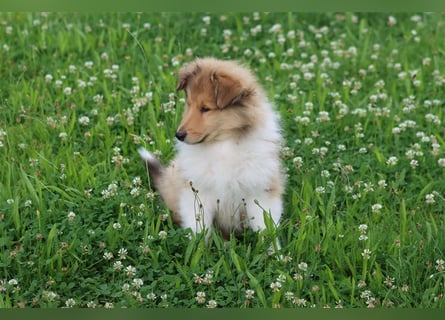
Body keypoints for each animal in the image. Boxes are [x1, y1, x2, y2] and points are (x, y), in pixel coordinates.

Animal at [139, 57, 282, 245]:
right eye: (189, 105)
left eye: (206, 109)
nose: (179, 135)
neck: (224, 144)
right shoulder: (198, 193)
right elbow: (199, 230)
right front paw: (197, 251)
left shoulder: (260, 192)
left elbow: (267, 229)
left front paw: (274, 252)